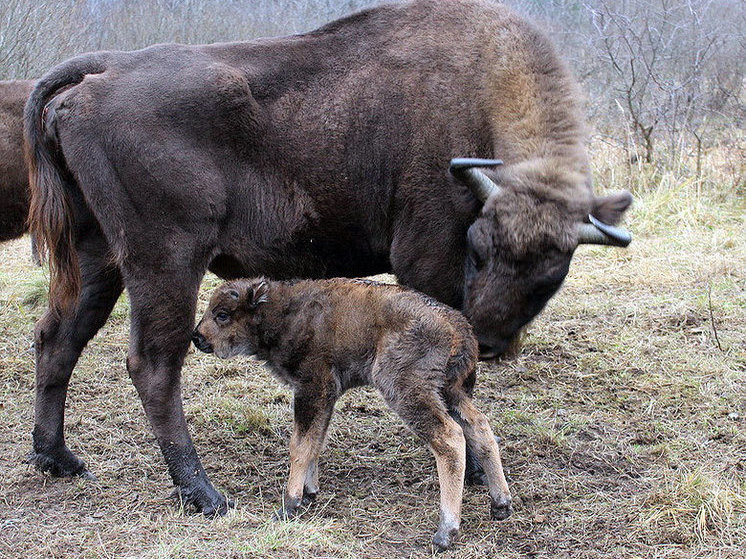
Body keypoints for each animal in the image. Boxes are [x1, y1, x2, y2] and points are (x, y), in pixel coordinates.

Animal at [24, 0, 628, 516]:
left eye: (552, 274)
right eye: (477, 249)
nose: (493, 342)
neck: (485, 88)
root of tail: (104, 71)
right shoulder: (428, 262)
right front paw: (477, 475)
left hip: (97, 258)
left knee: (58, 338)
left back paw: (58, 460)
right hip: (165, 262)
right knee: (154, 364)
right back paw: (203, 493)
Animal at [192, 278, 512, 548]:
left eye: (222, 314)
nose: (197, 337)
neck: (283, 311)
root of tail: (458, 326)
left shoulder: (312, 388)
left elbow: (300, 445)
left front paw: (289, 504)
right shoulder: (325, 396)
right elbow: (315, 441)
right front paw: (310, 492)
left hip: (407, 390)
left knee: (450, 438)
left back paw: (445, 532)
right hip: (451, 392)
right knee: (479, 427)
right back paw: (501, 504)